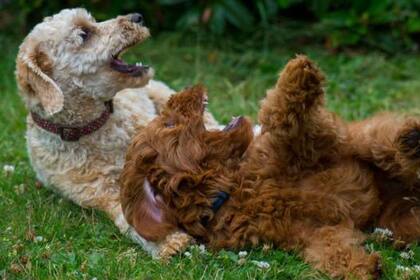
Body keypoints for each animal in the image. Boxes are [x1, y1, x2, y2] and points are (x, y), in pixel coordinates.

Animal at [14, 8, 218, 258]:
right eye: (84, 33)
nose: (137, 17)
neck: (94, 127)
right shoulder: (99, 191)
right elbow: (128, 214)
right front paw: (169, 242)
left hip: (163, 96)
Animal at [119, 55, 420, 278]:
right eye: (169, 125)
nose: (184, 89)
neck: (232, 186)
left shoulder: (316, 141)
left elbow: (281, 117)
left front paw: (298, 70)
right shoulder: (312, 229)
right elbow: (328, 248)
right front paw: (361, 267)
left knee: (384, 145)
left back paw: (409, 140)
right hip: (397, 220)